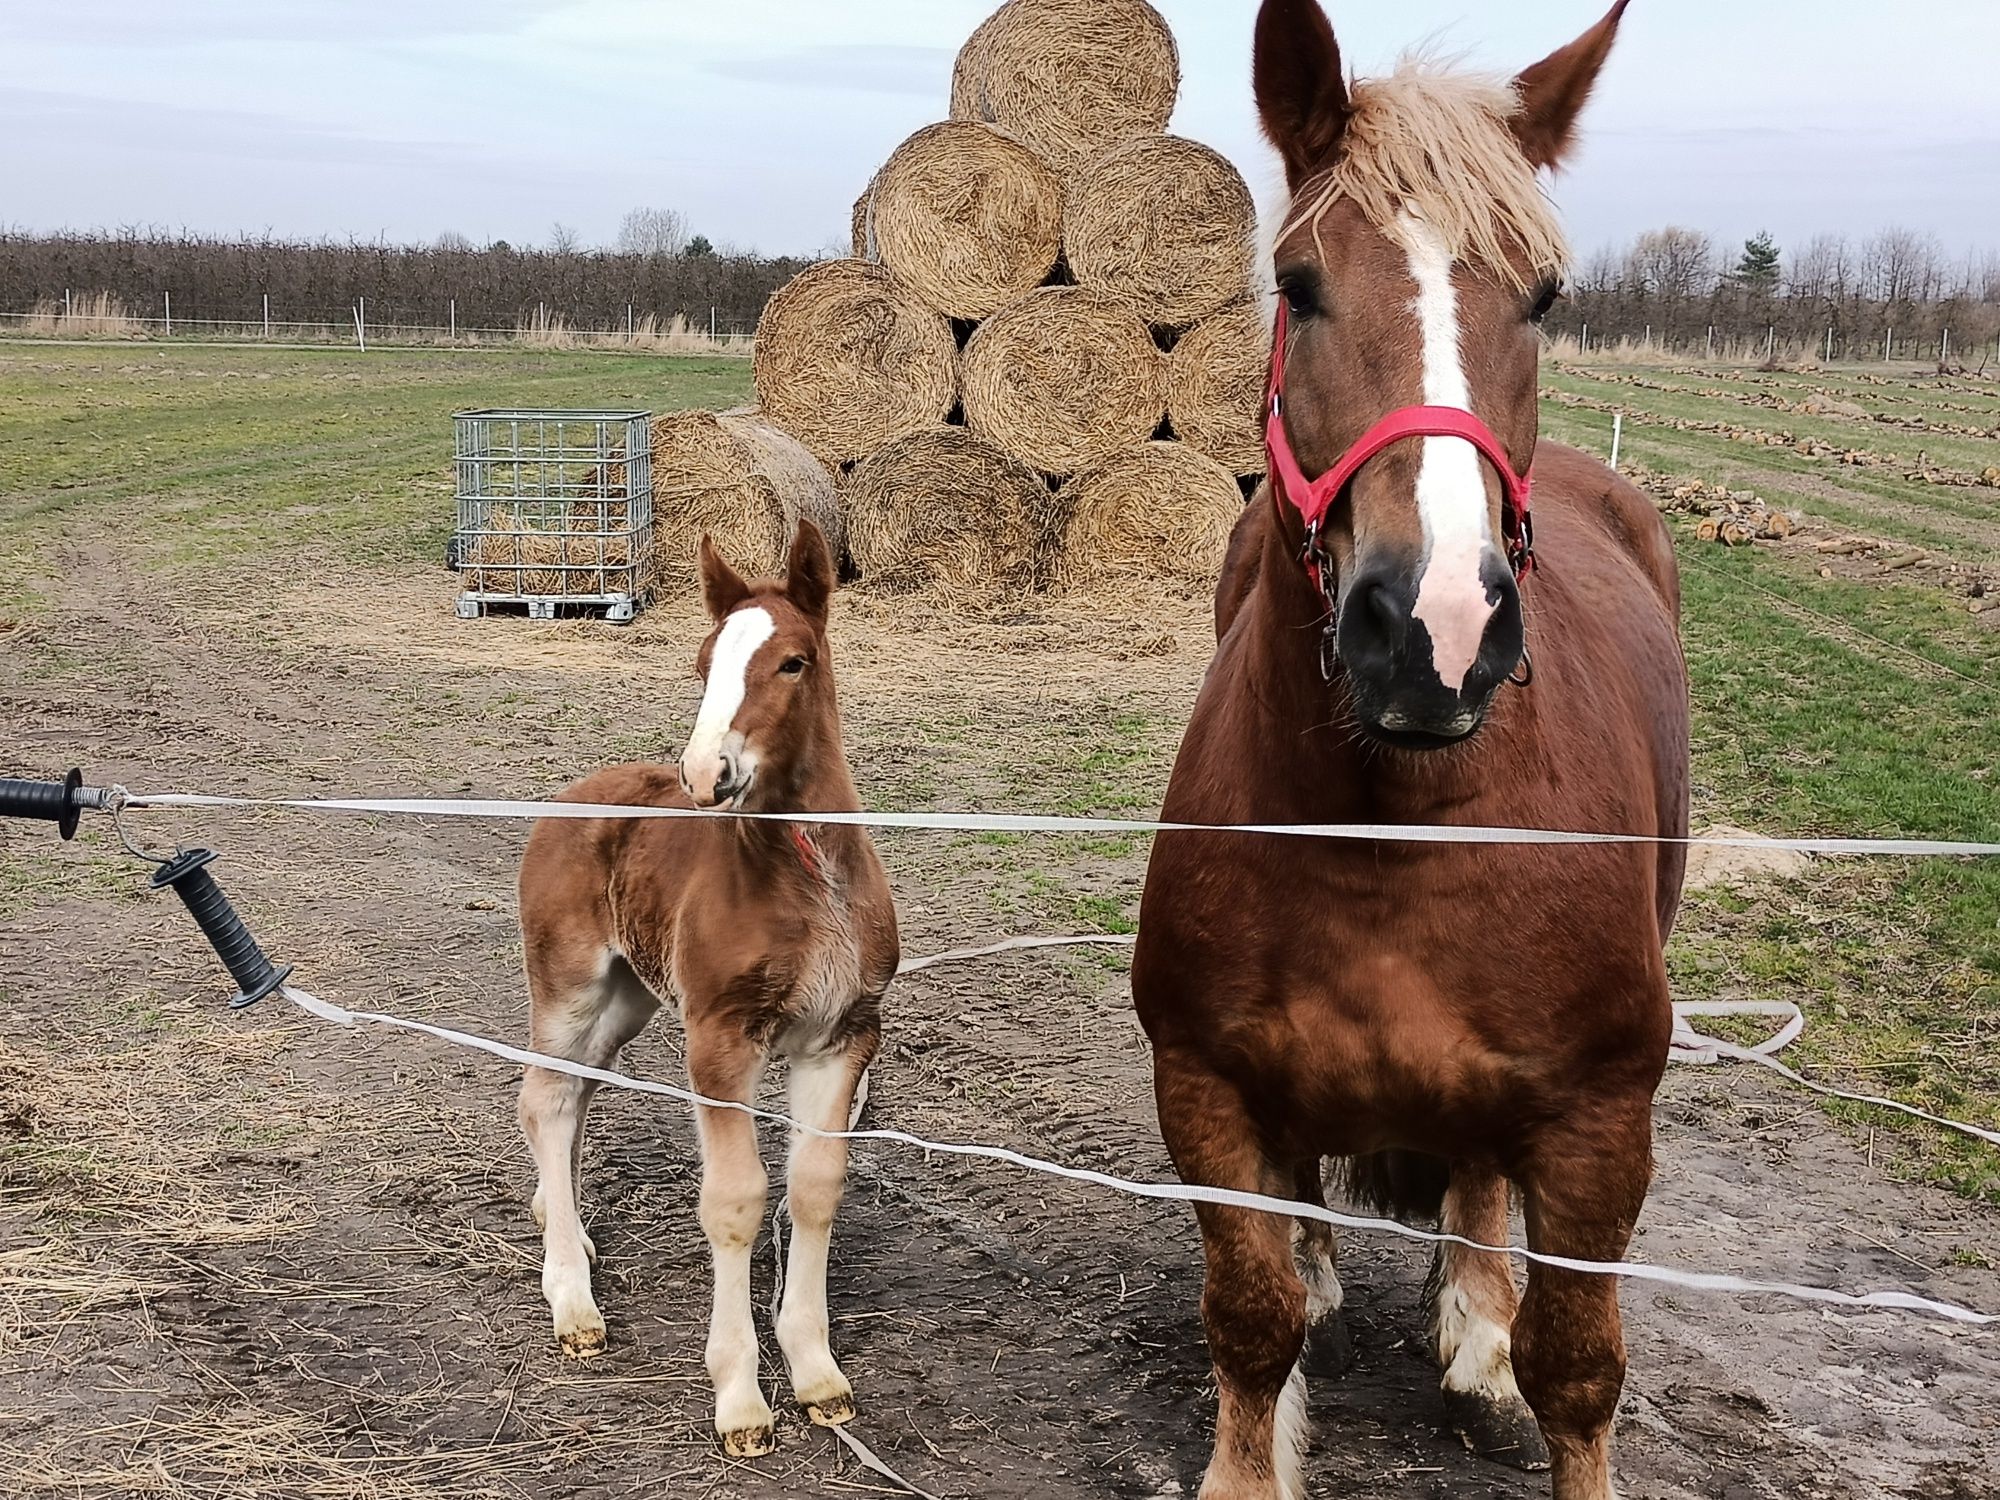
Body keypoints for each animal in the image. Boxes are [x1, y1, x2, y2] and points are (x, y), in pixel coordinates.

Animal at [516, 524, 900, 1464]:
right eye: (702, 663)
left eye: (793, 662)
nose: (704, 772)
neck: (809, 879)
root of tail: (572, 793)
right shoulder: (721, 1040)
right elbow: (735, 1202)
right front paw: (740, 1399)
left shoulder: (843, 1037)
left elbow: (813, 1186)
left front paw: (817, 1373)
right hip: (570, 984)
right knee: (544, 1097)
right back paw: (572, 1299)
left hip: (630, 998)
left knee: (576, 1094)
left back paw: (562, 1224)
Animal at [1136, 5, 1680, 1496]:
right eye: (1297, 283)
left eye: (1542, 296)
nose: (1435, 627)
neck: (1397, 826)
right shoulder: (1204, 1088)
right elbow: (1251, 1317)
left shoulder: (1599, 1125)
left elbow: (1578, 1369)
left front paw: (1496, 1339)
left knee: (1480, 1190)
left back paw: (1475, 1317)